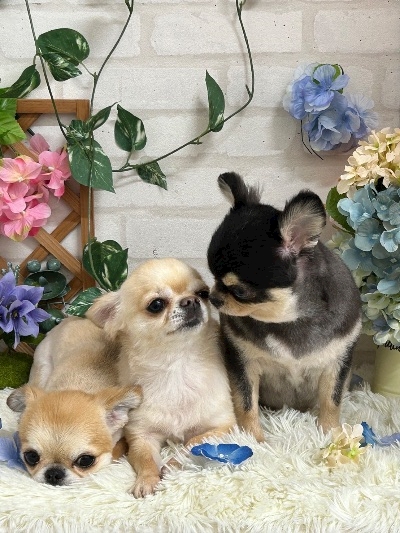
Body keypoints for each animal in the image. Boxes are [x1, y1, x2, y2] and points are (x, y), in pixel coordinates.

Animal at [7, 316, 142, 486]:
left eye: (85, 460)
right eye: (31, 456)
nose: (53, 473)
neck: (78, 386)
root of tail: (73, 318)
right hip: (42, 366)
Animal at [86, 257, 236, 498]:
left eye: (203, 293)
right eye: (156, 305)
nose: (191, 301)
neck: (176, 366)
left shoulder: (223, 426)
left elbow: (193, 442)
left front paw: (173, 464)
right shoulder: (141, 436)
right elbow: (145, 459)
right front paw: (147, 480)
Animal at [207, 172, 362, 441]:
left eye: (240, 291)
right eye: (213, 277)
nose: (213, 297)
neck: (290, 320)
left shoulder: (337, 364)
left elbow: (332, 401)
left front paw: (330, 433)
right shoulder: (243, 364)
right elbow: (245, 404)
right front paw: (253, 439)